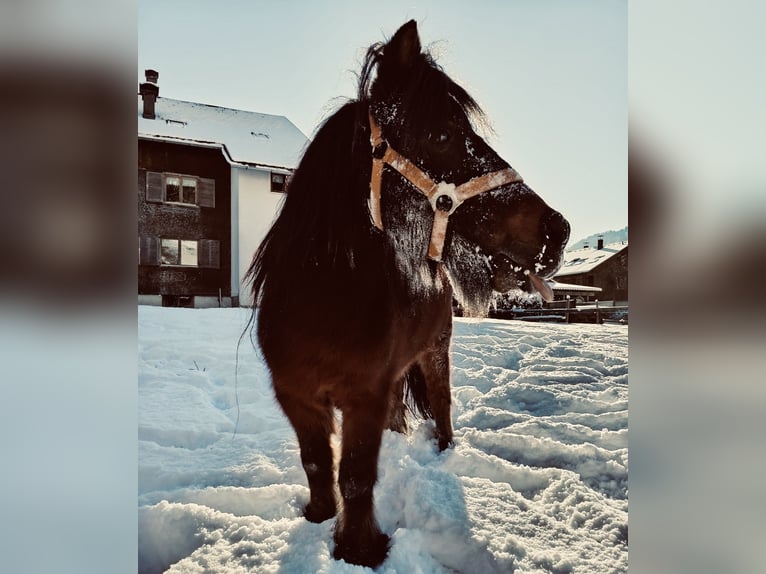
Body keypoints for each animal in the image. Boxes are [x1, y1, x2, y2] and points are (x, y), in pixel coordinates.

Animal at [246, 20, 570, 568]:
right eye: (441, 134)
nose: (558, 232)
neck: (324, 304)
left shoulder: (364, 395)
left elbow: (356, 476)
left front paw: (359, 549)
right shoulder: (298, 397)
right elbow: (317, 463)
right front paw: (319, 518)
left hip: (435, 355)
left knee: (440, 405)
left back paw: (444, 452)